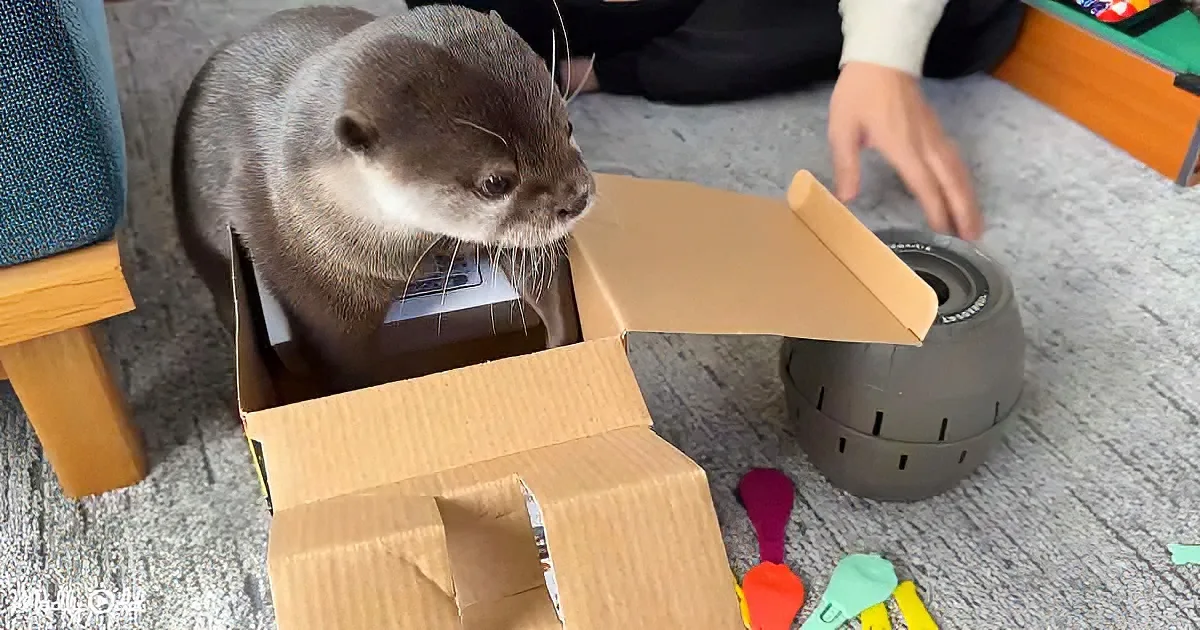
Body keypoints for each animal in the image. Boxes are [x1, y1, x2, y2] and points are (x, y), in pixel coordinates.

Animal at [171, 5, 594, 392]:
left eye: (568, 126)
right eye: (495, 182)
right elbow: (346, 365)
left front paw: (560, 346)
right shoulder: (311, 282)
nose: (577, 199)